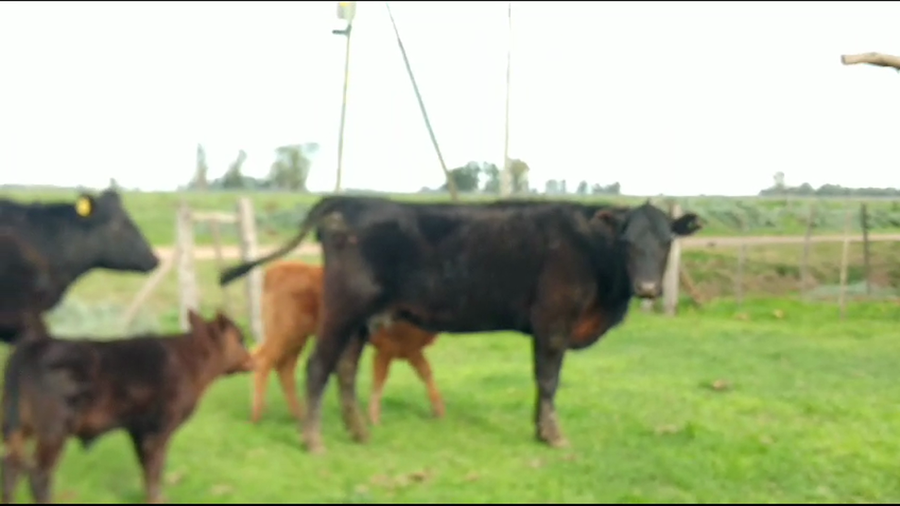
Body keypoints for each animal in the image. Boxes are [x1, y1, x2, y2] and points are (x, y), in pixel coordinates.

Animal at [0, 309, 254, 504]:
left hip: (18, 429)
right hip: (54, 429)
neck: (190, 361)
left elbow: (147, 468)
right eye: (241, 339)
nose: (253, 359)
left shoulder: (138, 430)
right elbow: (155, 468)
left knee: (11, 469)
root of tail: (33, 345)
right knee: (39, 474)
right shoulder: (159, 428)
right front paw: (157, 500)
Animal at [250, 260, 443, 426]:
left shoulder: (409, 349)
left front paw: (438, 412)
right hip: (285, 333)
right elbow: (380, 380)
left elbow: (426, 372)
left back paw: (298, 415)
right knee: (264, 360)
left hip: (296, 338)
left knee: (284, 367)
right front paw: (374, 419)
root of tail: (278, 268)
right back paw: (257, 416)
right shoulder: (389, 348)